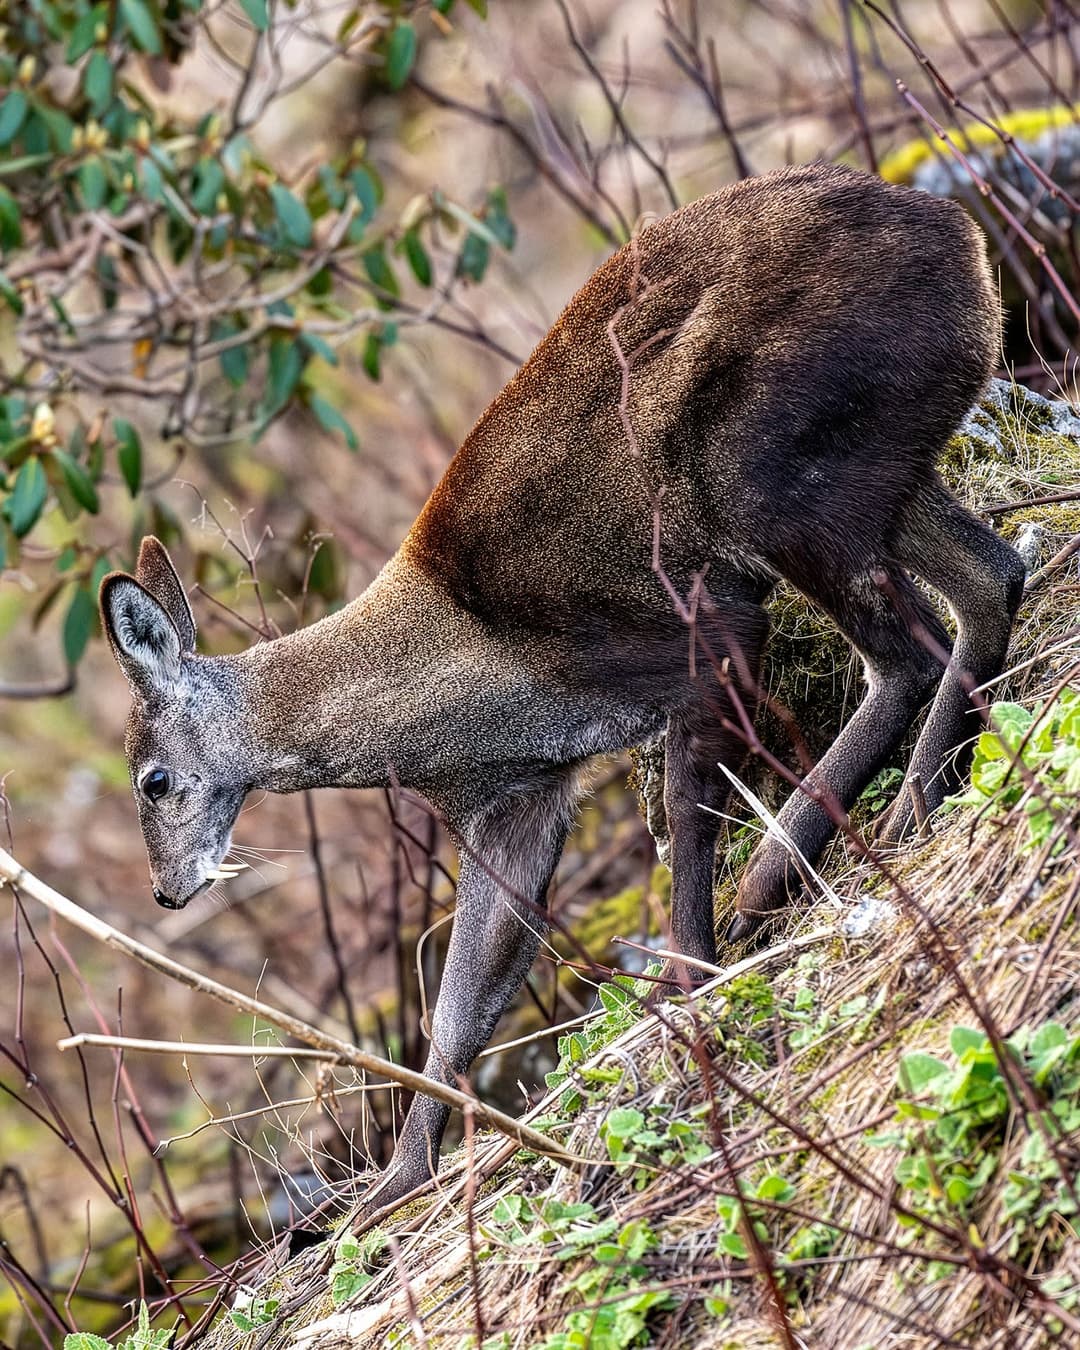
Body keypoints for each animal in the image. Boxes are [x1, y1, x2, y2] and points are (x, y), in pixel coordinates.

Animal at [99, 162, 1025, 1213]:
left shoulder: (695, 639)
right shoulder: (519, 797)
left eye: (152, 779)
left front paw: (688, 980)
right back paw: (900, 804)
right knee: (991, 578)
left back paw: (821, 849)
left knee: (906, 655)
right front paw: (395, 1182)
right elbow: (460, 1003)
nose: (168, 890)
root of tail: (962, 240)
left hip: (772, 474)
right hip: (879, 465)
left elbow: (684, 826)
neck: (456, 689)